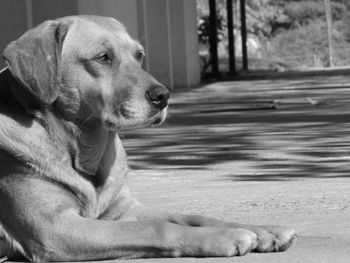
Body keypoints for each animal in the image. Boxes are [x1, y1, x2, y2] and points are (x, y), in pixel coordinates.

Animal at [0, 16, 296, 262]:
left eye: (139, 55)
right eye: (103, 57)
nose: (163, 96)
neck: (84, 149)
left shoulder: (122, 210)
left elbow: (188, 215)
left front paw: (262, 230)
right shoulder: (53, 229)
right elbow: (156, 227)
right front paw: (224, 236)